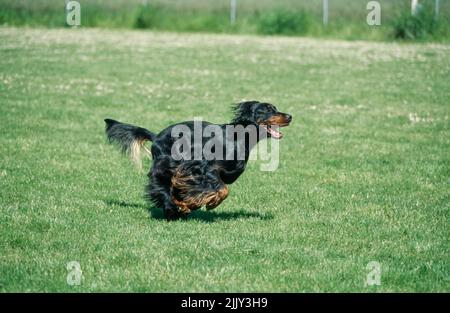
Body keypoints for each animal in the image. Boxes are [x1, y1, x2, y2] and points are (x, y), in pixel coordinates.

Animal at [104, 100, 292, 219]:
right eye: (267, 109)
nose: (290, 116)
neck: (237, 137)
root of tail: (155, 136)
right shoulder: (201, 166)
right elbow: (223, 189)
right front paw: (210, 203)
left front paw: (196, 202)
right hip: (165, 165)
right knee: (161, 186)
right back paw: (175, 207)